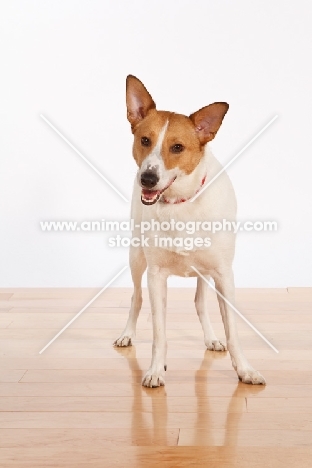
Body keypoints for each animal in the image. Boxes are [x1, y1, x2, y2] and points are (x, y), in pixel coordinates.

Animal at [114, 76, 266, 388]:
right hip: (136, 258)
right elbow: (159, 332)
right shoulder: (156, 275)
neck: (180, 203)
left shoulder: (223, 274)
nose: (148, 178)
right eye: (145, 140)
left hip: (204, 271)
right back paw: (127, 334)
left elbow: (233, 330)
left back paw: (211, 339)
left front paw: (244, 370)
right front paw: (156, 369)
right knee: (136, 298)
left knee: (199, 302)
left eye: (177, 147)